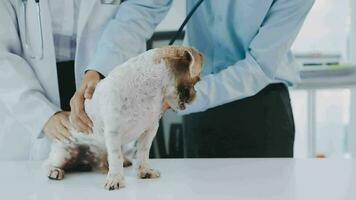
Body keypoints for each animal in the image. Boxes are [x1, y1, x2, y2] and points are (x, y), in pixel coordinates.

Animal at [42, 45, 203, 191]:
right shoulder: (113, 132)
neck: (148, 88)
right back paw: (54, 171)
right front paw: (115, 179)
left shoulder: (149, 130)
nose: (196, 95)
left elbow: (143, 153)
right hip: (62, 153)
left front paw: (144, 170)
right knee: (49, 163)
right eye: (197, 79)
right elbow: (115, 157)